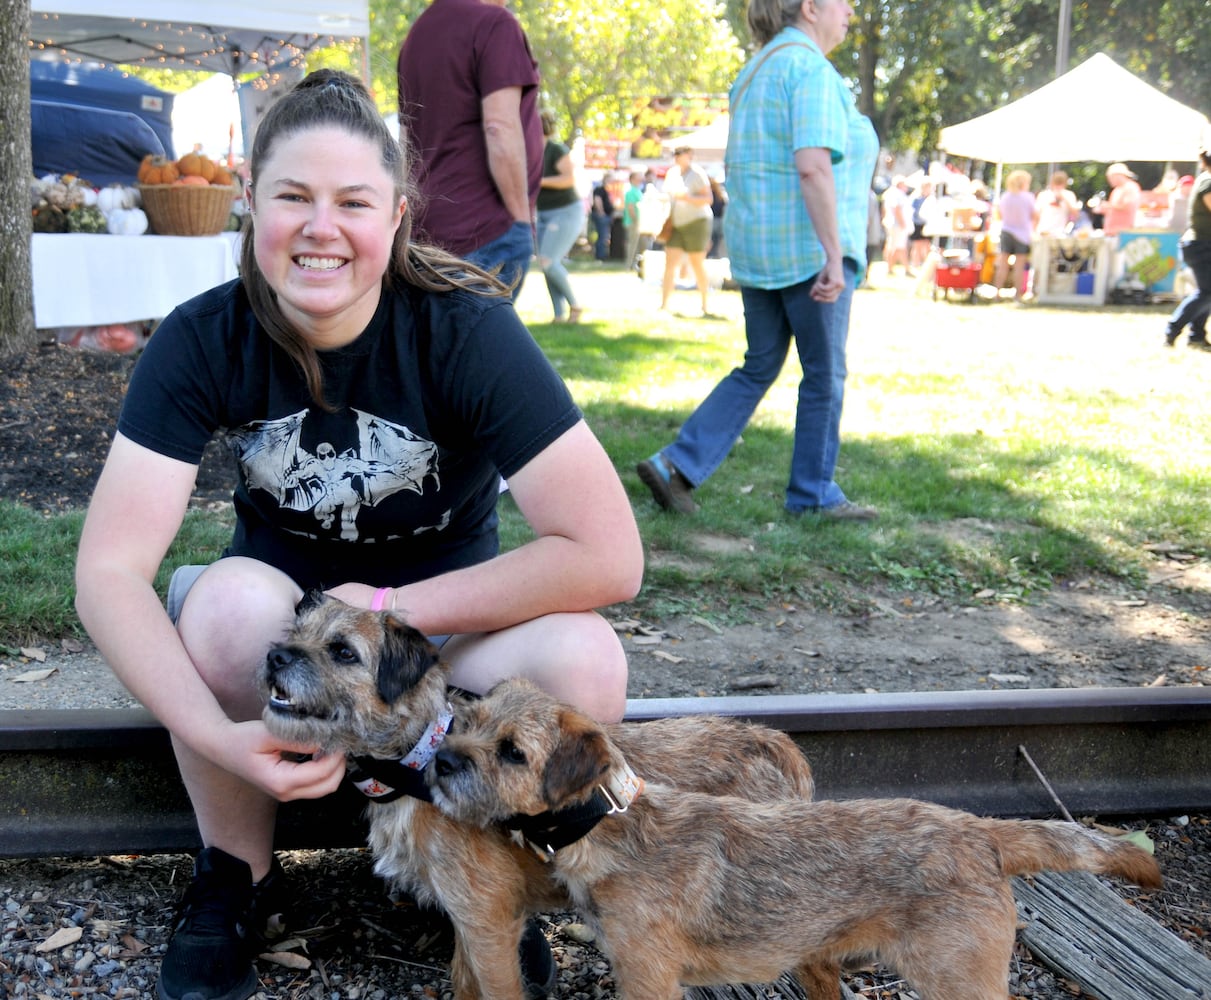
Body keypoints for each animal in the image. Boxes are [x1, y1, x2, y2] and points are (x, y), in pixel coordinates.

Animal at [260, 593, 818, 997]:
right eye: (296, 633)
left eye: (343, 651)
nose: (274, 654)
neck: (417, 758)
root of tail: (773, 743)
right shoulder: (469, 923)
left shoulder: (488, 924)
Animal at [426, 673, 1162, 997]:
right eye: (464, 720)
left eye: (513, 753)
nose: (439, 761)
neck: (612, 823)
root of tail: (980, 833)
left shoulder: (648, 977)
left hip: (960, 983)